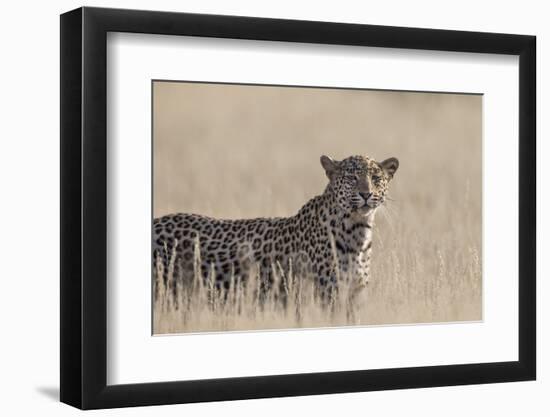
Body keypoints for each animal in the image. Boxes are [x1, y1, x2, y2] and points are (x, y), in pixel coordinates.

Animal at [153, 153, 398, 302]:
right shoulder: (327, 295)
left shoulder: (354, 295)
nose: (366, 194)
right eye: (351, 177)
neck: (357, 231)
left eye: (376, 178)